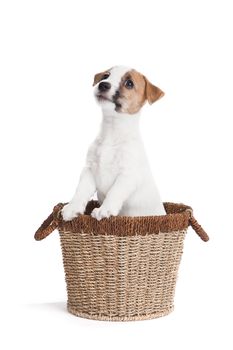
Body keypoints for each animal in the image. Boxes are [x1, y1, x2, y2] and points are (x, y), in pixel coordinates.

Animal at [62, 65, 166, 221]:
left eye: (129, 83)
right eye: (106, 76)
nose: (103, 84)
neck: (112, 131)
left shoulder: (127, 175)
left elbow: (114, 192)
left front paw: (104, 210)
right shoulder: (89, 170)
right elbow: (80, 190)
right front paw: (72, 208)